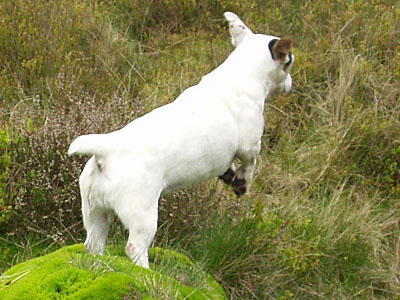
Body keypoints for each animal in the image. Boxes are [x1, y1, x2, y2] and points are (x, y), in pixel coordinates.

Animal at [68, 12, 294, 270]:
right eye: (289, 62)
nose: (290, 83)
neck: (240, 75)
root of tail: (106, 151)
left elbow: (228, 168)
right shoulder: (250, 145)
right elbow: (249, 166)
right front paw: (241, 184)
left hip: (95, 212)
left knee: (93, 244)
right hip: (142, 216)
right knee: (135, 248)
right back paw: (146, 272)